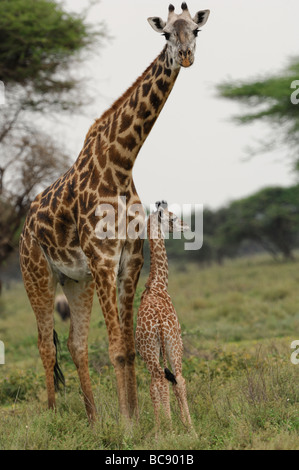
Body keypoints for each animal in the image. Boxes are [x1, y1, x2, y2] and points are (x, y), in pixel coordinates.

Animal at [19, 3, 211, 422]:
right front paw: (127, 425)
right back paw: (54, 416)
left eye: (196, 31)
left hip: (77, 281)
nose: (186, 56)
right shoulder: (104, 260)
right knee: (44, 343)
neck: (121, 162)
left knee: (74, 344)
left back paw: (93, 420)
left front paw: (136, 418)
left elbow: (129, 350)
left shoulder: (128, 261)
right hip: (37, 275)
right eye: (166, 34)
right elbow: (118, 350)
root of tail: (24, 227)